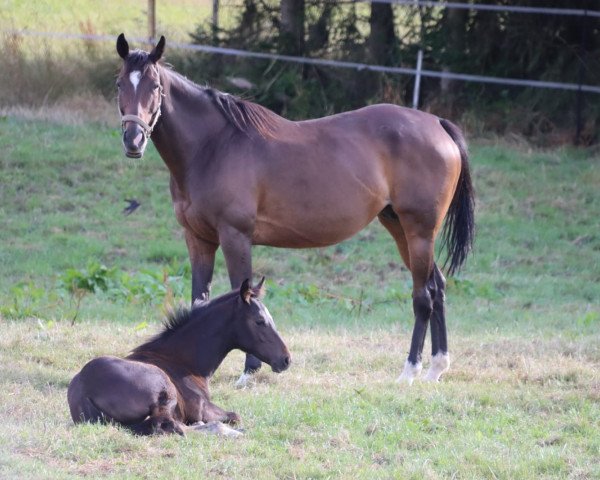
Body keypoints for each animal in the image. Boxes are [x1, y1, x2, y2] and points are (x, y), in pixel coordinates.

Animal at [68, 280, 290, 436]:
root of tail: (85, 390)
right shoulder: (201, 408)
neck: (183, 363)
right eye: (259, 321)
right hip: (164, 390)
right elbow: (235, 415)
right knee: (169, 426)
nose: (286, 359)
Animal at [115, 34, 476, 386]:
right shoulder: (198, 239)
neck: (213, 146)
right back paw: (436, 367)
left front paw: (249, 371)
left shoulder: (235, 236)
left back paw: (410, 371)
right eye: (120, 84)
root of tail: (437, 124)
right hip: (400, 227)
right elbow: (199, 300)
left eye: (155, 86)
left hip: (418, 231)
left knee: (423, 297)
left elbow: (243, 293)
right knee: (437, 286)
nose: (133, 140)